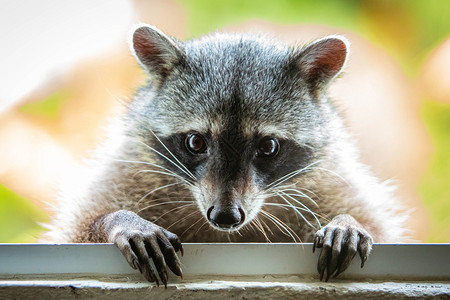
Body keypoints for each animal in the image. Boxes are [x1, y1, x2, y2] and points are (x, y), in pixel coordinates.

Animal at [44, 24, 408, 286]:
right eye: (195, 142)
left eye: (268, 147)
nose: (225, 217)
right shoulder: (131, 165)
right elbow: (76, 231)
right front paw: (121, 220)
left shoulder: (327, 177)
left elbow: (377, 226)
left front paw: (347, 221)